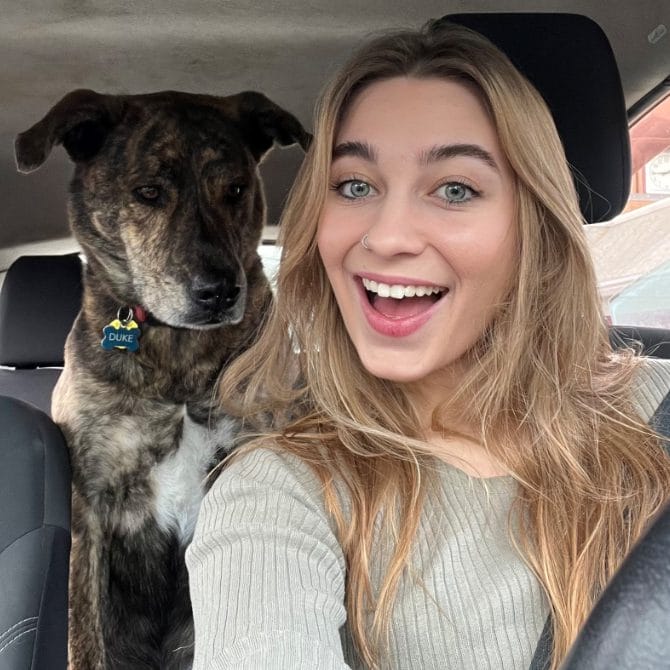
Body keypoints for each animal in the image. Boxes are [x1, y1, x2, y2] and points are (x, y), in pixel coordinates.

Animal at [15, 90, 310, 670]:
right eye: (148, 192)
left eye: (235, 190)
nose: (220, 292)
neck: (177, 354)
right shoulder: (90, 501)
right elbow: (82, 630)